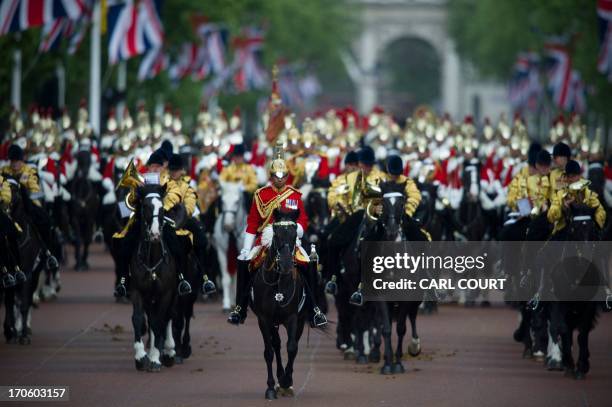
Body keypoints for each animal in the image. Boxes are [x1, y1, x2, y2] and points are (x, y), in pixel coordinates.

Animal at [128, 184, 177, 372]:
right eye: (145, 207)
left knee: (167, 317)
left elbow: (159, 322)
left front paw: (156, 358)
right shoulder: (137, 291)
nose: (155, 234)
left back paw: (168, 351)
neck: (152, 259)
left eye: (162, 208)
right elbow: (138, 319)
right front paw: (141, 356)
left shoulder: (166, 293)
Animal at [249, 209, 306, 400]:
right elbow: (269, 352)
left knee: (289, 344)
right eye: (276, 233)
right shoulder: (264, 319)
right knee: (276, 344)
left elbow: (292, 347)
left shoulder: (293, 318)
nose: (287, 264)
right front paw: (271, 387)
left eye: (295, 234)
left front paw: (287, 381)